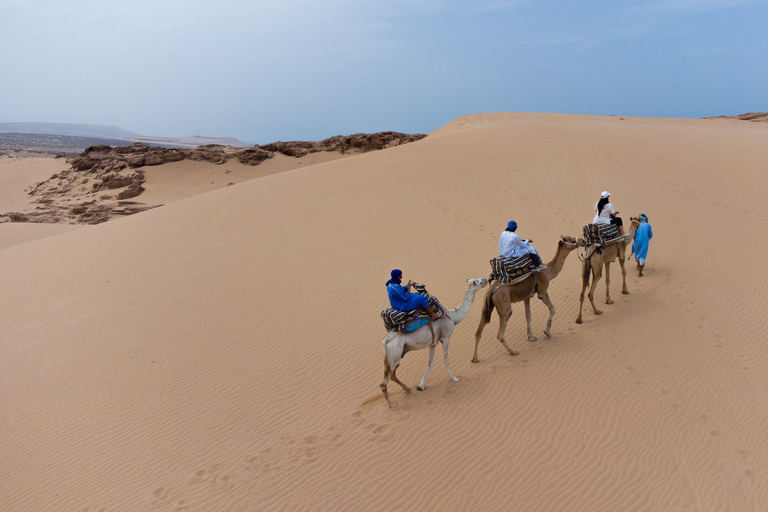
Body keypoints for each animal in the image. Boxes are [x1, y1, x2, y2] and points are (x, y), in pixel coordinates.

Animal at [380, 278, 488, 406]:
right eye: (477, 281)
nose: (485, 279)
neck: (452, 316)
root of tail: (386, 341)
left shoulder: (433, 343)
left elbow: (430, 363)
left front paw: (420, 386)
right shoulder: (446, 338)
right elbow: (446, 360)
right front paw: (454, 378)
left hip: (393, 355)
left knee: (392, 374)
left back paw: (407, 388)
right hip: (395, 352)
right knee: (385, 381)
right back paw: (392, 404)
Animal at [472, 236, 580, 364]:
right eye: (571, 240)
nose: (582, 241)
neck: (548, 272)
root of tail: (492, 289)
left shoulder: (527, 296)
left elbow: (528, 315)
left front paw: (531, 337)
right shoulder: (542, 291)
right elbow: (553, 309)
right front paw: (547, 331)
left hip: (485, 305)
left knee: (478, 331)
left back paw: (475, 359)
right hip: (504, 306)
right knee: (501, 332)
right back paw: (513, 352)